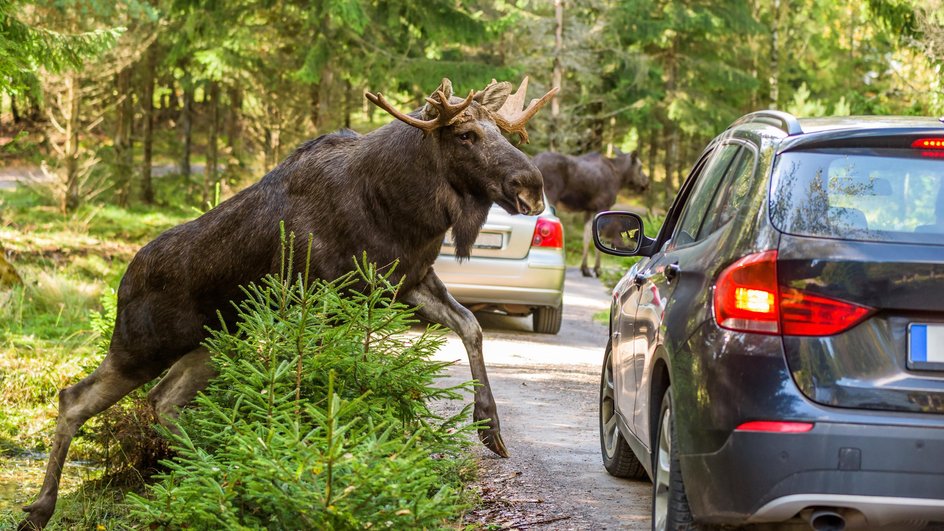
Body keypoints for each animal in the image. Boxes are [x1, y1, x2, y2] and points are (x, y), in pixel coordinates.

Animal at [18, 78, 556, 531]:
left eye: (505, 133)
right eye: (465, 134)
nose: (531, 185)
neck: (402, 209)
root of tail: (122, 282)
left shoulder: (408, 281)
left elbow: (470, 327)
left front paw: (489, 426)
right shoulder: (322, 296)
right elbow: (323, 380)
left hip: (210, 345)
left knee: (162, 400)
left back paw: (216, 464)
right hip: (142, 345)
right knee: (74, 399)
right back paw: (43, 508)